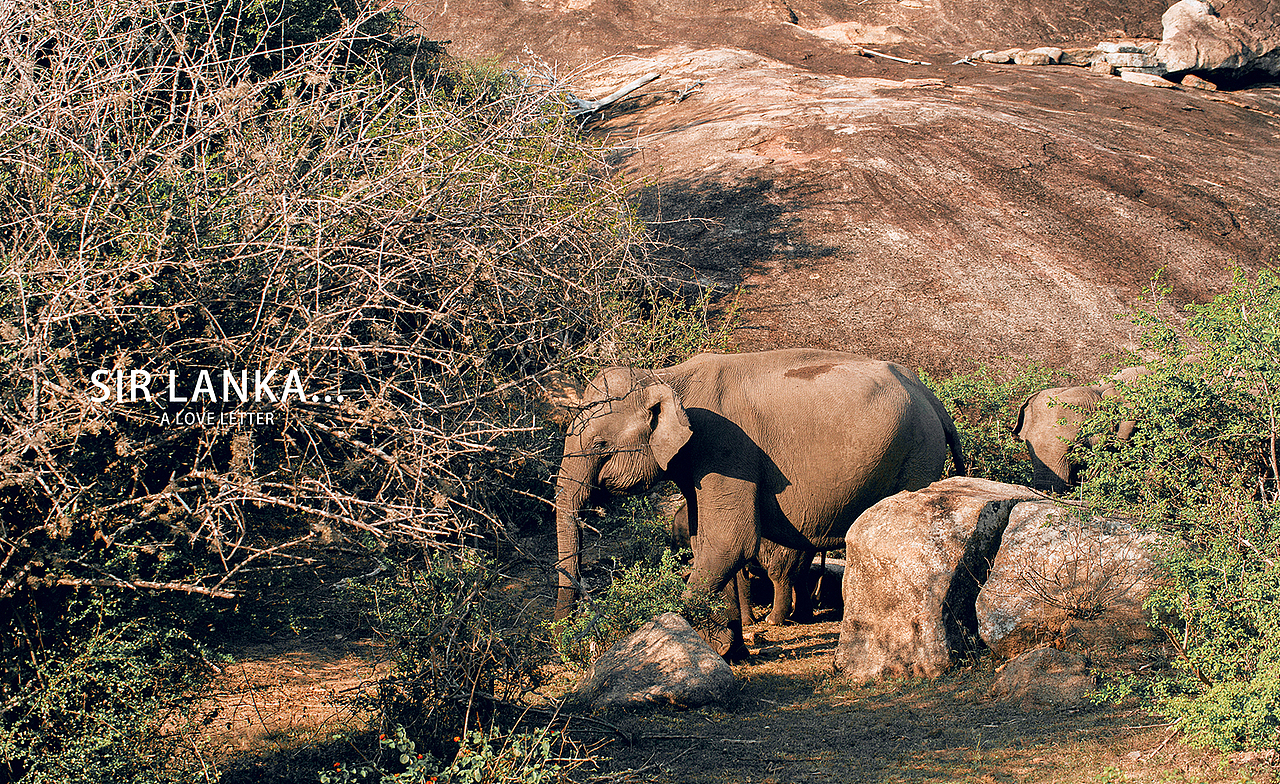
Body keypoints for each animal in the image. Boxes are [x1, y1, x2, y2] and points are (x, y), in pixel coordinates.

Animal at [552, 348, 967, 659]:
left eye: (600, 445)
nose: (562, 640)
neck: (666, 377)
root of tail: (933, 399)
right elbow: (706, 540)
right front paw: (731, 652)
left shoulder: (726, 449)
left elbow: (730, 541)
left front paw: (687, 642)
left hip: (916, 457)